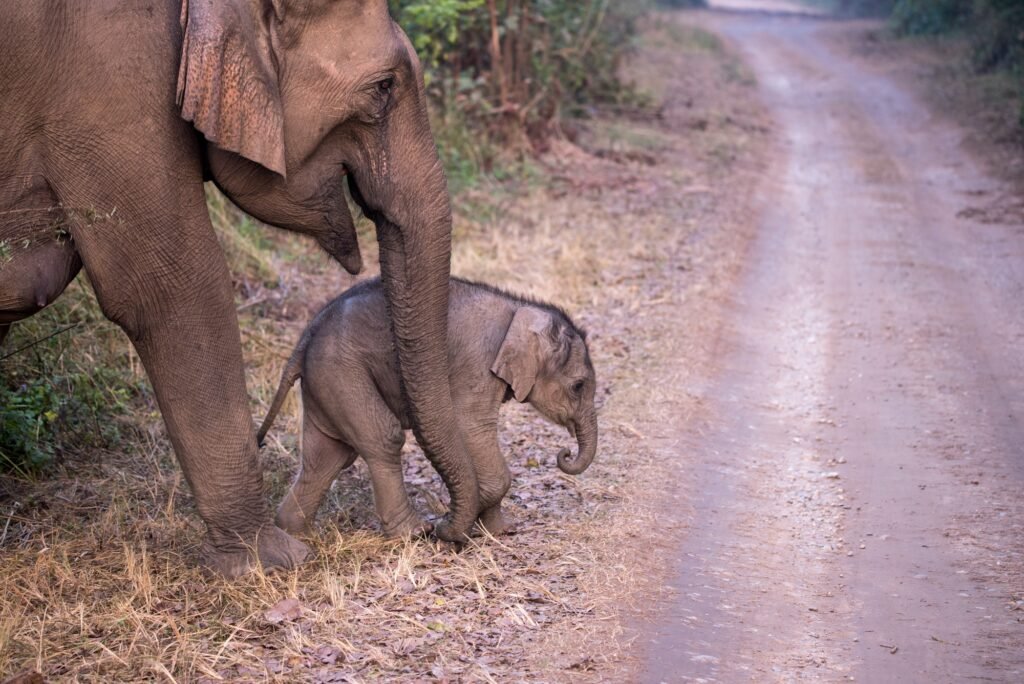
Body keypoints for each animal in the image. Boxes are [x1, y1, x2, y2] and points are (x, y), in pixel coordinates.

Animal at [257, 277, 598, 538]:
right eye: (578, 386)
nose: (564, 454)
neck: (519, 308)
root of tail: (306, 338)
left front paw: (500, 531)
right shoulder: (478, 364)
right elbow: (473, 424)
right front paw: (467, 527)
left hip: (325, 382)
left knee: (327, 456)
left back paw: (297, 534)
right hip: (342, 373)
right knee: (382, 438)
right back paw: (414, 532)